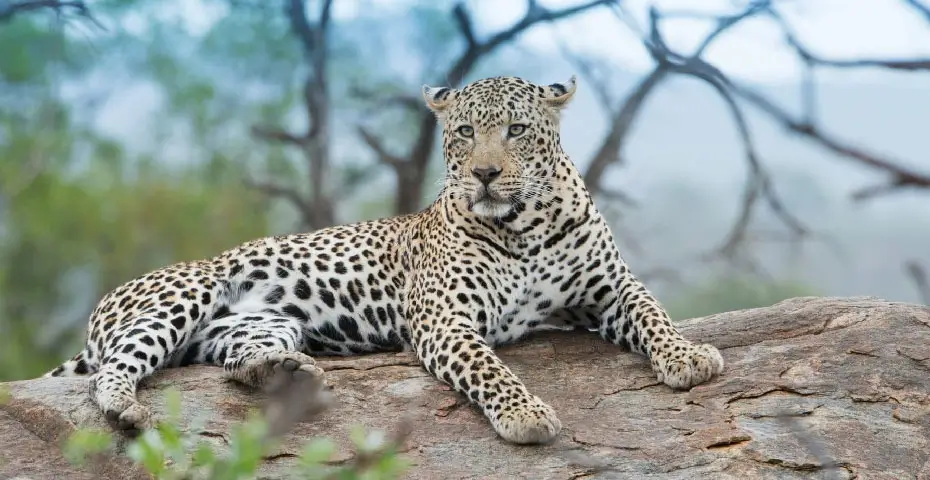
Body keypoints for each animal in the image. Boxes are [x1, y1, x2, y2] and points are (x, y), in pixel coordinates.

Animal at [45, 75, 724, 444]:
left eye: (515, 131)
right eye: (463, 134)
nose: (483, 174)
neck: (525, 226)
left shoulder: (611, 289)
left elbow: (654, 312)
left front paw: (689, 356)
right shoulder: (446, 320)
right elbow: (490, 368)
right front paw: (525, 413)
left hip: (256, 325)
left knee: (235, 363)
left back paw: (284, 373)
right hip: (184, 294)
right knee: (113, 371)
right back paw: (127, 408)